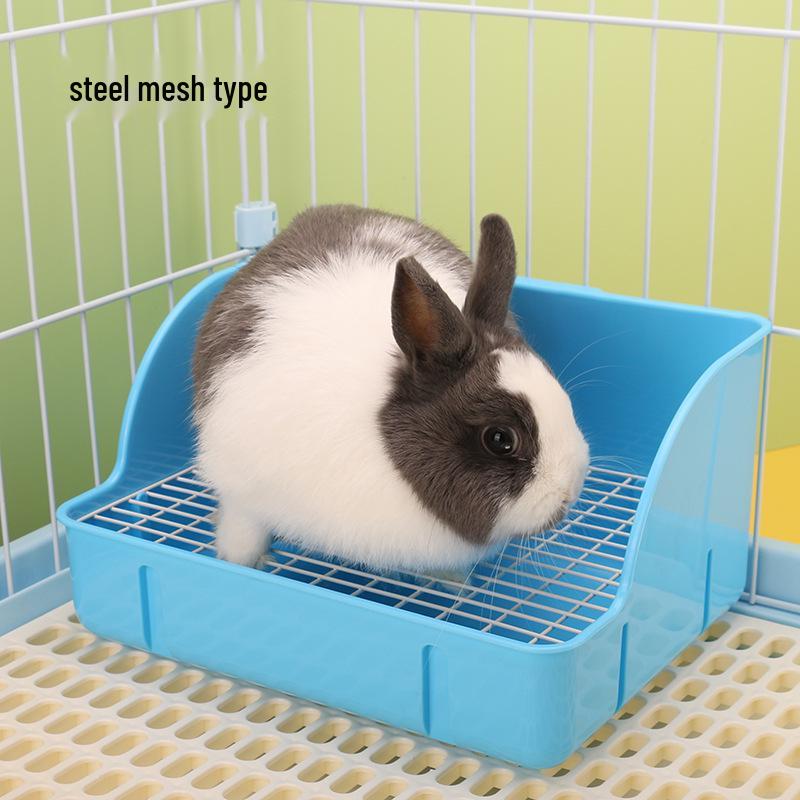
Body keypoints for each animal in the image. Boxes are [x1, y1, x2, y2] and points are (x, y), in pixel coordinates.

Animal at [192, 205, 589, 573]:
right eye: (500, 439)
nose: (569, 490)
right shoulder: (241, 491)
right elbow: (242, 530)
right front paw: (242, 561)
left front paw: (452, 581)